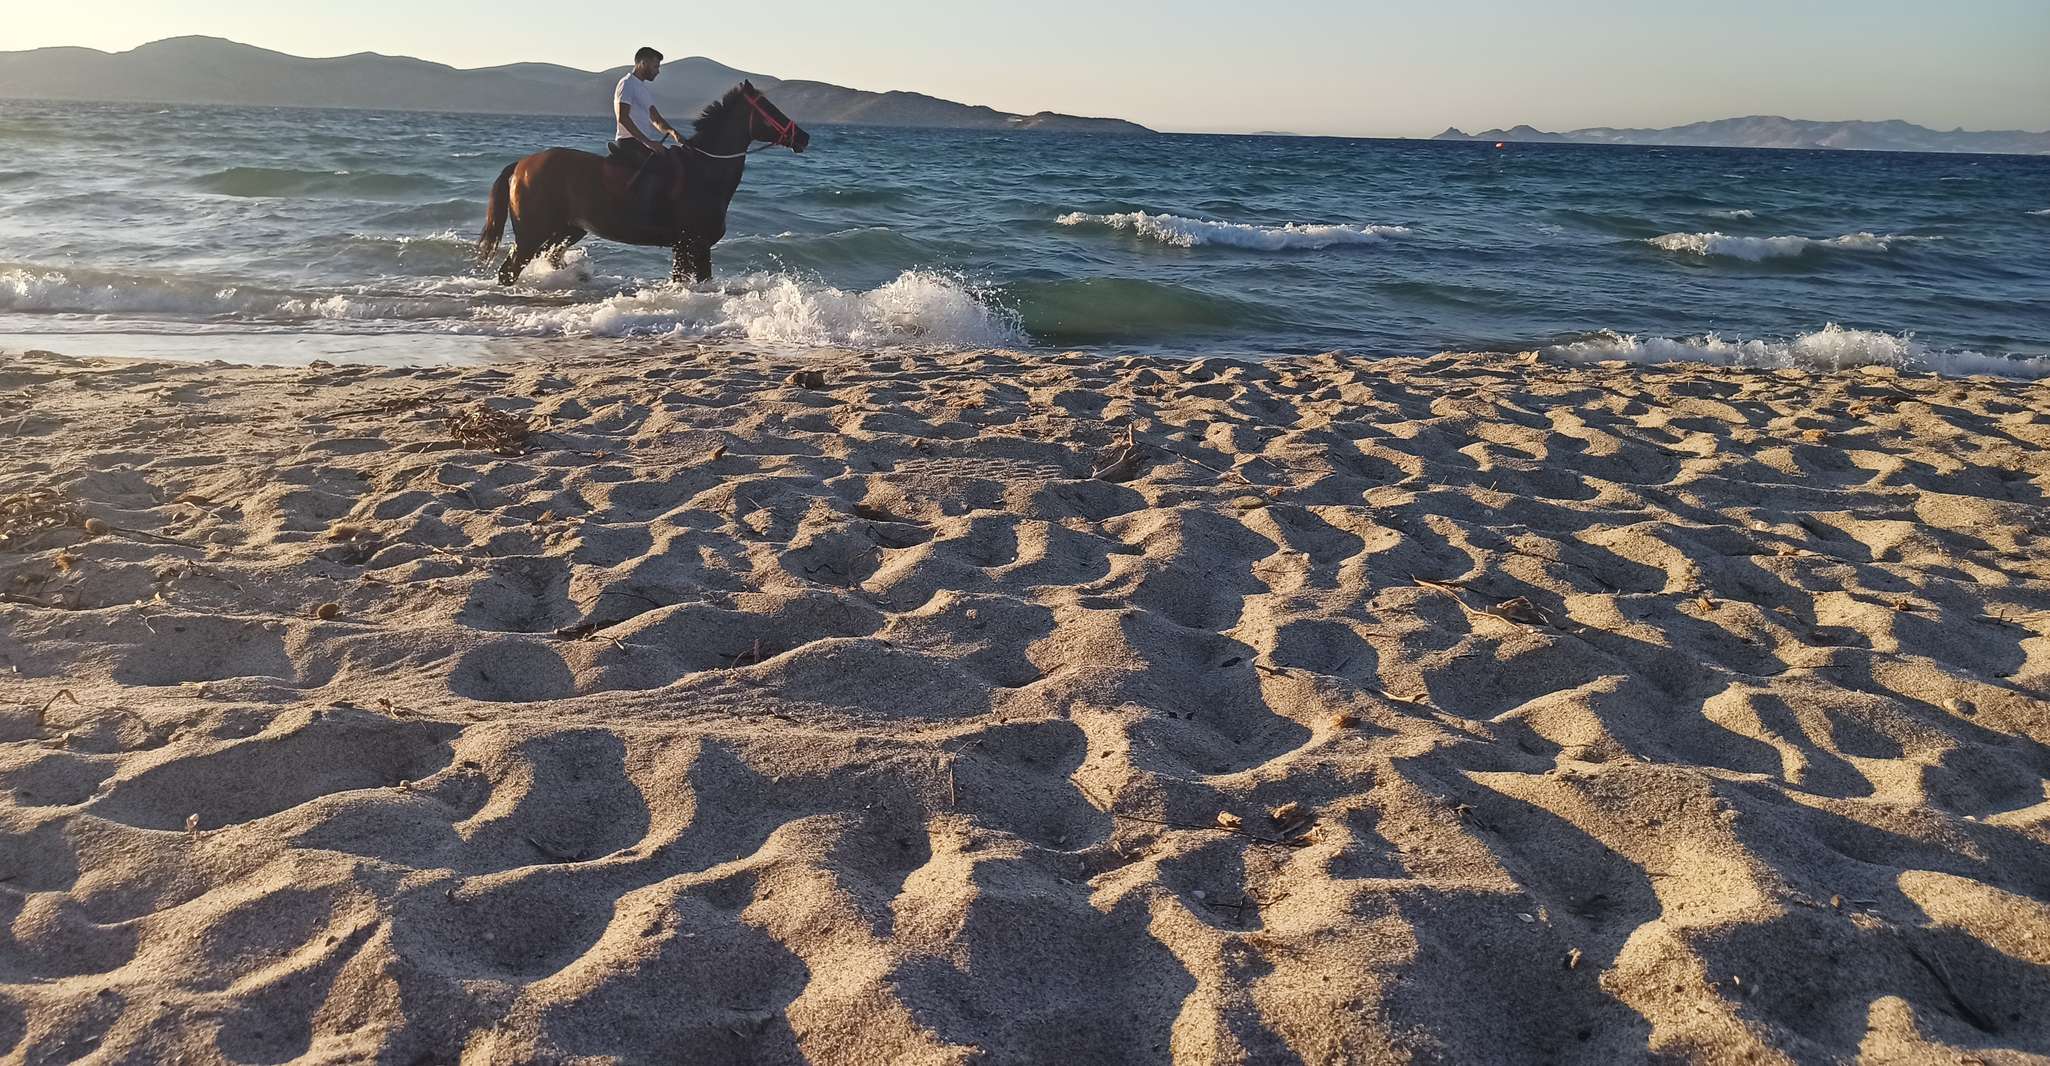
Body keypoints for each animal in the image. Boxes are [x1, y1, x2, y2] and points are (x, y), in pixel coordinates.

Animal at [475, 79, 803, 284]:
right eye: (770, 109)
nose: (804, 137)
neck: (705, 170)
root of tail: (522, 164)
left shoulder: (686, 248)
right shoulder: (693, 244)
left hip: (568, 229)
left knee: (548, 258)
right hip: (532, 233)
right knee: (509, 271)